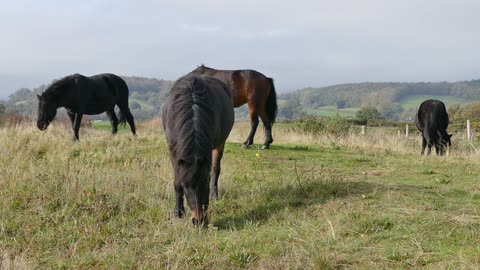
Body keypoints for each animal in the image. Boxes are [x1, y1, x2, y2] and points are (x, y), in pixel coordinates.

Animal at [162, 74, 235, 226]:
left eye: (205, 183)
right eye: (185, 186)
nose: (199, 220)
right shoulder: (173, 153)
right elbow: (176, 181)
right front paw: (178, 212)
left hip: (220, 144)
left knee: (216, 168)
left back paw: (214, 195)